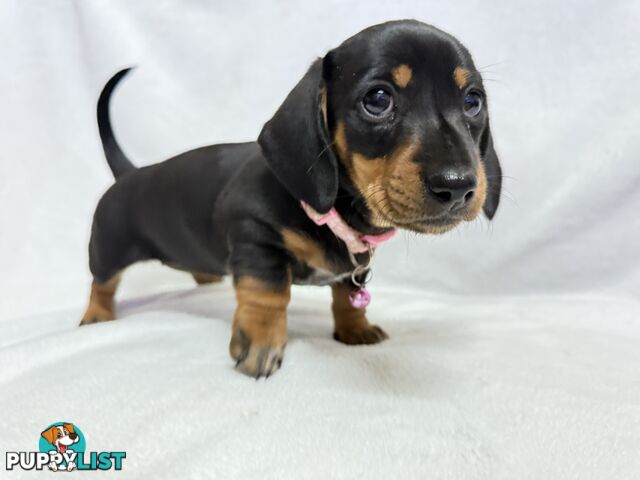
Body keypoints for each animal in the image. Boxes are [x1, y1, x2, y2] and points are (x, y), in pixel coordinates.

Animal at [80, 20, 500, 376]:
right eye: (378, 100)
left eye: (472, 102)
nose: (458, 186)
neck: (337, 215)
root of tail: (130, 174)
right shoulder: (256, 237)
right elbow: (268, 293)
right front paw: (260, 346)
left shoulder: (354, 267)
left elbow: (347, 295)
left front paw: (355, 329)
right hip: (107, 247)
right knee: (102, 282)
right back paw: (96, 316)